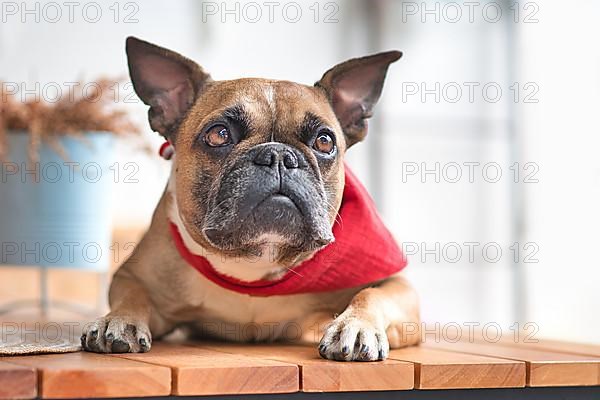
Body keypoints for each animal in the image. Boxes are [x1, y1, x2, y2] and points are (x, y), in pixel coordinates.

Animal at [81, 37, 422, 360]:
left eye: (324, 141)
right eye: (218, 134)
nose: (279, 156)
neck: (254, 264)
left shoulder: (399, 287)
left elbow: (372, 294)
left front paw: (355, 326)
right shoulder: (133, 277)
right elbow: (132, 296)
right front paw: (118, 321)